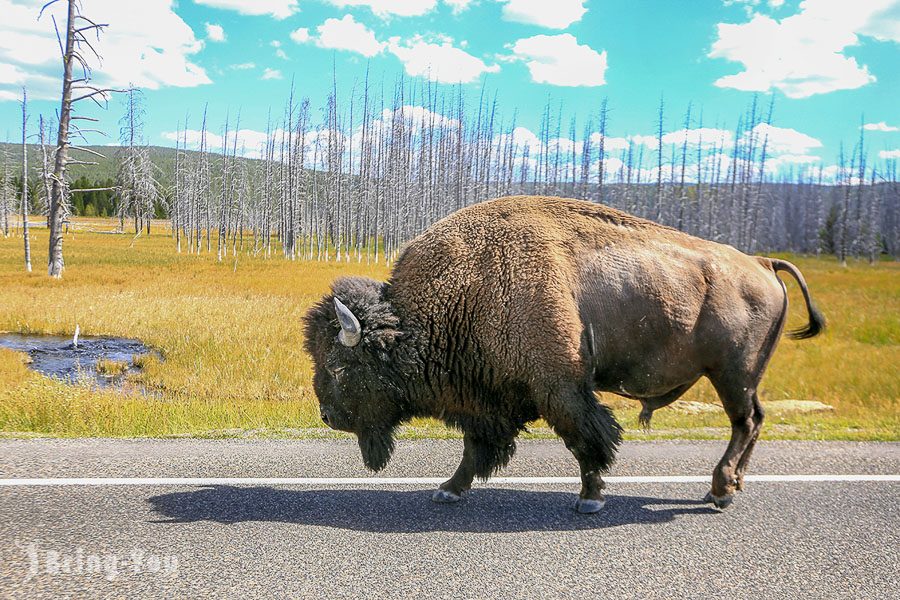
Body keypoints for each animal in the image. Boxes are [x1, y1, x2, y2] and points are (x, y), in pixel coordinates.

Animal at [302, 196, 824, 510]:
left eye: (339, 365)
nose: (327, 415)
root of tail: (761, 262)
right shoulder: (485, 400)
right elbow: (476, 448)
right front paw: (448, 490)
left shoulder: (560, 388)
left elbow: (586, 438)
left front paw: (589, 498)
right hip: (739, 378)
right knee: (753, 422)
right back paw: (727, 489)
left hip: (732, 374)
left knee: (745, 423)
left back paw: (720, 491)